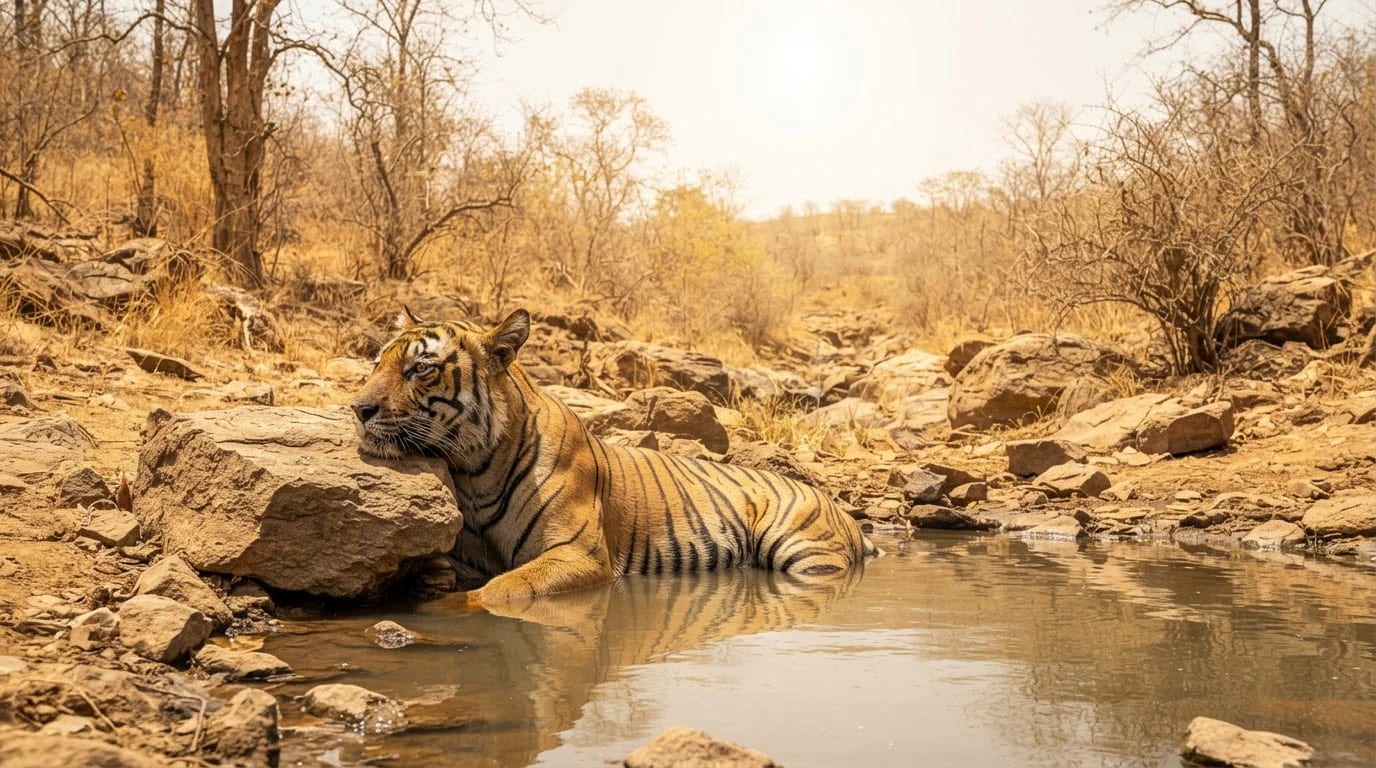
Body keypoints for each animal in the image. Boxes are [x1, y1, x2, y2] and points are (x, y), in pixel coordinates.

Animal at [350, 308, 877, 608]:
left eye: (420, 368)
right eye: (377, 363)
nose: (358, 408)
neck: (474, 469)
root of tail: (838, 507)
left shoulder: (577, 553)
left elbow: (498, 592)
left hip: (804, 553)